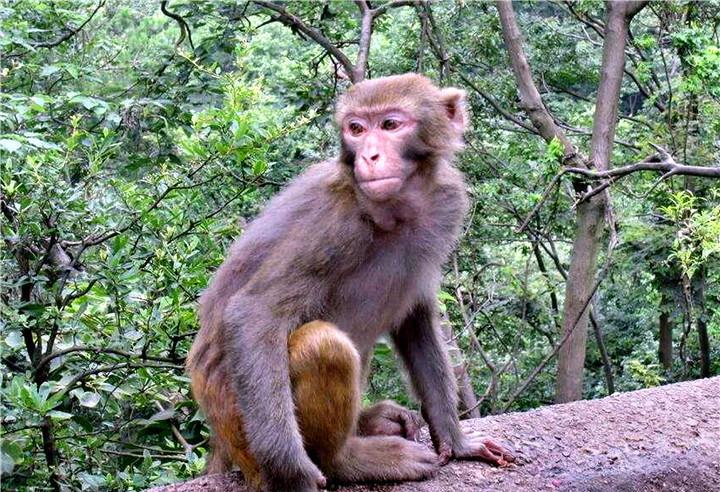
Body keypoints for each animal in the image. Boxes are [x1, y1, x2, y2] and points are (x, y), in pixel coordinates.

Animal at [186, 74, 512, 492]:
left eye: (390, 125)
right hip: (242, 434)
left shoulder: (447, 203)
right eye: (356, 129)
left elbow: (416, 320)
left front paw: (457, 442)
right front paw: (291, 465)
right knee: (323, 345)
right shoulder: (334, 224)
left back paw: (373, 422)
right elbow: (254, 312)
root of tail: (221, 439)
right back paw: (348, 460)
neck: (395, 210)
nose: (369, 156)